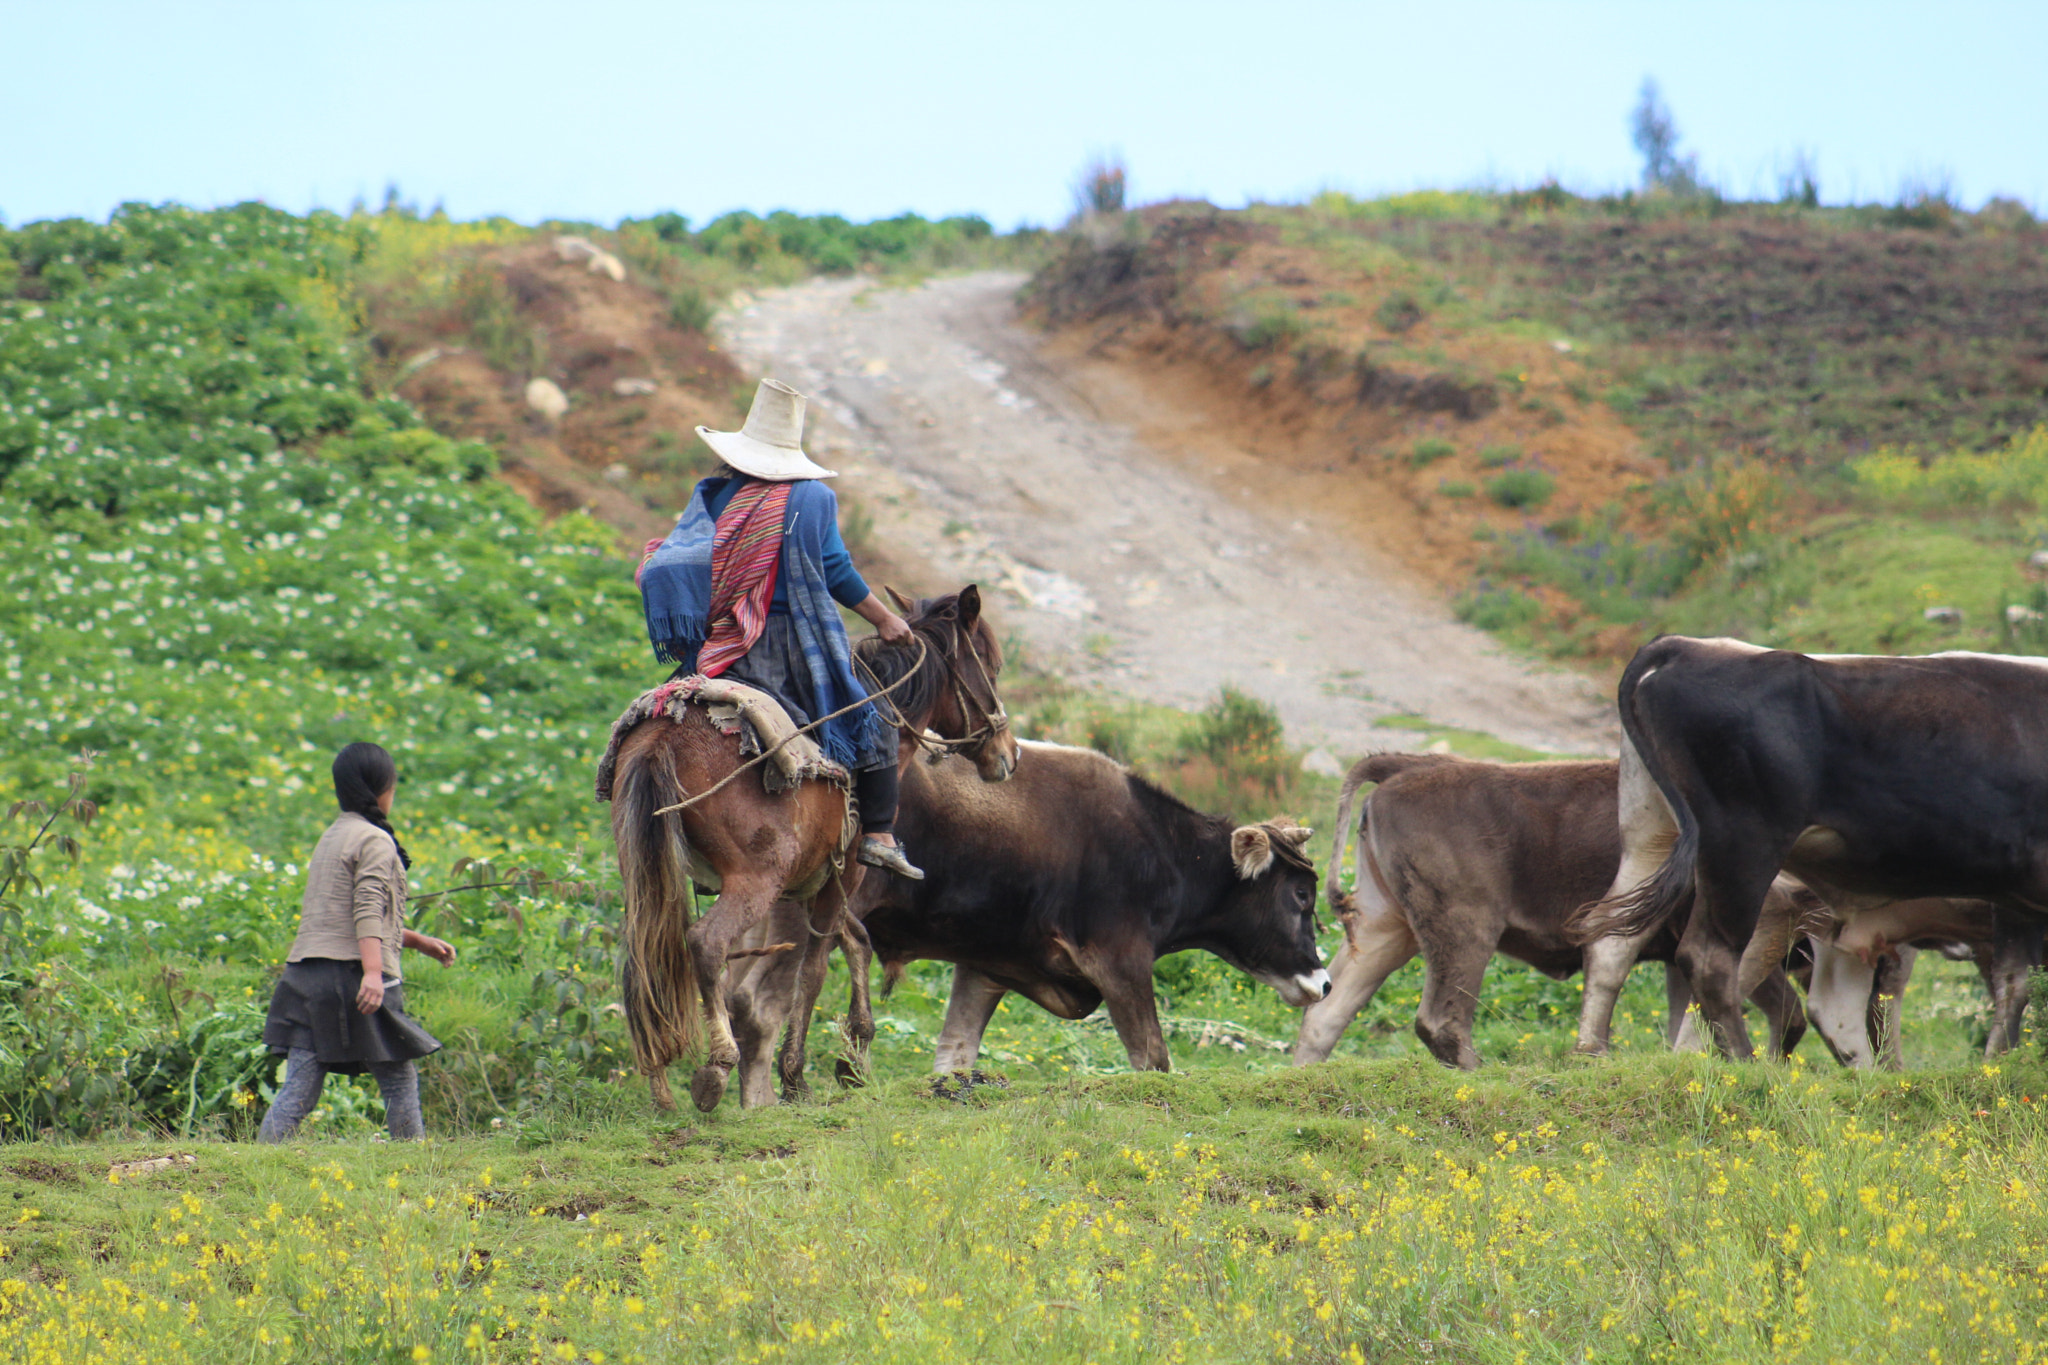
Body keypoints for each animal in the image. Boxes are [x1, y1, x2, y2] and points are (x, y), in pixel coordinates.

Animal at [606, 585, 1024, 1113]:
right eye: (990, 665)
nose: (1009, 754)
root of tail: (664, 734)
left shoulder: (814, 879)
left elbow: (857, 941)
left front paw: (854, 1052)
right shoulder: (841, 875)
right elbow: (816, 968)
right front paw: (796, 1076)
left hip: (648, 873)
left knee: (646, 954)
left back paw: (661, 1089)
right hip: (754, 880)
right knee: (706, 943)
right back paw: (717, 1067)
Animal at [1302, 753, 1802, 1072]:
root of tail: (1409, 768)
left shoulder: (1678, 952)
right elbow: (1768, 1002)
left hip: (1387, 925)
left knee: (1325, 1014)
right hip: (1467, 928)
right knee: (1442, 1019)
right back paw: (1482, 1072)